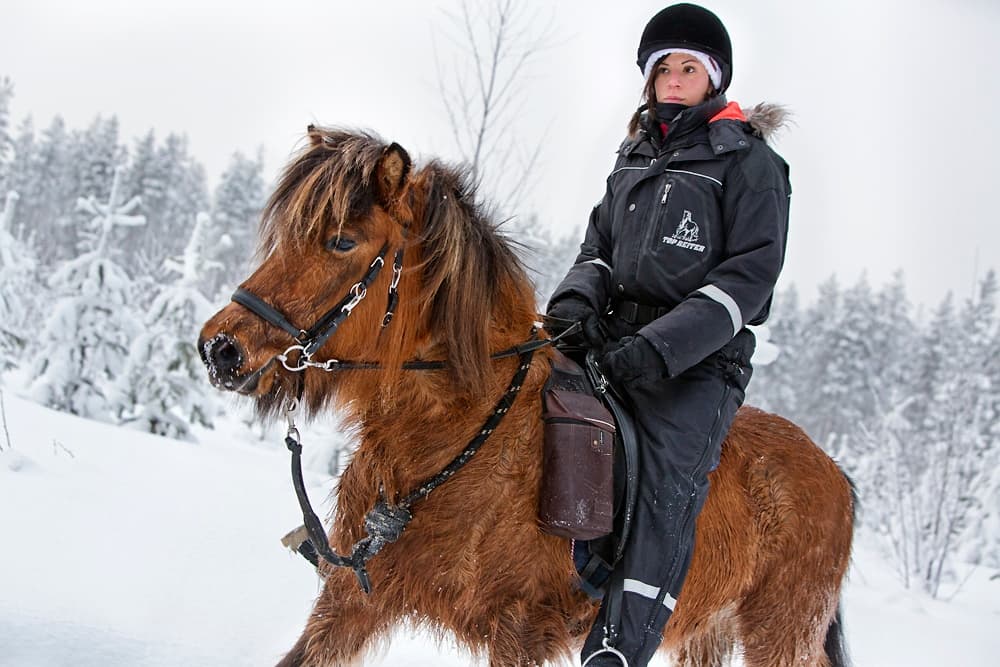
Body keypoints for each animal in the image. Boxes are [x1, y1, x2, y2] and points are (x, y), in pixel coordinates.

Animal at [198, 126, 855, 667]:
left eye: (340, 241)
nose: (220, 349)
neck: (451, 441)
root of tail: (837, 475)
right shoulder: (353, 602)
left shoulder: (517, 631)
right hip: (707, 634)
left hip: (780, 635)